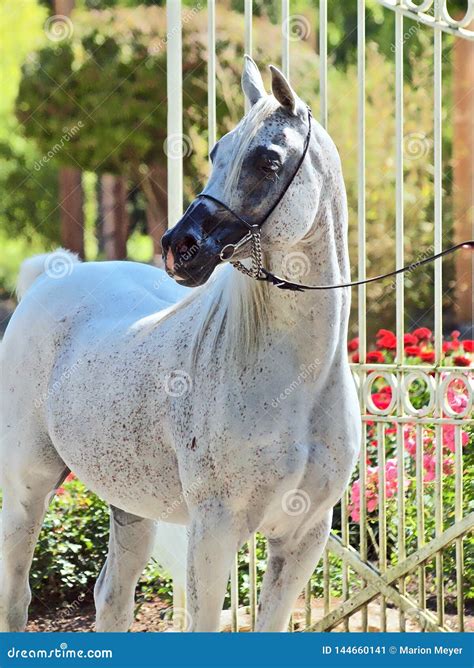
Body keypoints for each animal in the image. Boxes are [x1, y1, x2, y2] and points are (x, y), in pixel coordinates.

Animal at [0, 57, 360, 632]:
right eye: (216, 152)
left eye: (267, 160)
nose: (179, 247)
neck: (298, 385)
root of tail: (49, 277)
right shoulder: (214, 531)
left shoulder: (303, 538)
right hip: (26, 490)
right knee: (16, 600)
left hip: (130, 505)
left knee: (112, 597)